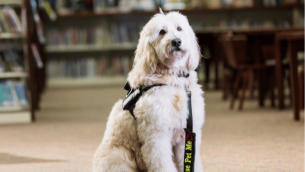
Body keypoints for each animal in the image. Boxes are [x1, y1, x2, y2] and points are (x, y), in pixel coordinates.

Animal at [92, 9, 204, 172]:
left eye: (179, 28)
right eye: (162, 32)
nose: (176, 41)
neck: (172, 79)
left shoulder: (186, 135)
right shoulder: (156, 136)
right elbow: (162, 164)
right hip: (119, 155)